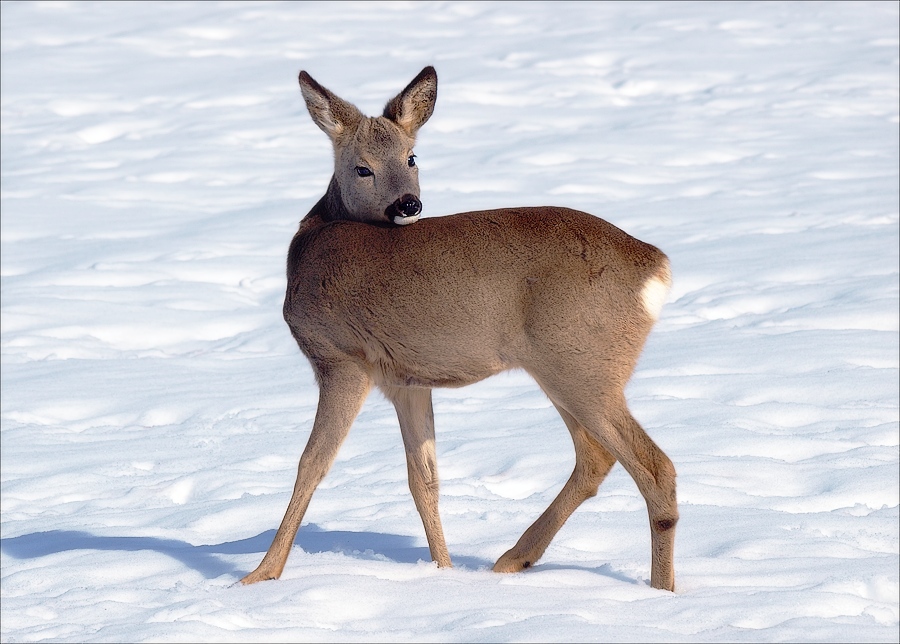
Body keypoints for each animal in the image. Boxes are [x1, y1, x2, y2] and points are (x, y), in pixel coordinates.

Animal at [243, 66, 680, 592]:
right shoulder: (405, 379)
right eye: (362, 167)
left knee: (654, 466)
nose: (409, 203)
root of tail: (654, 265)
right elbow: (424, 478)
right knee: (595, 458)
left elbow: (311, 463)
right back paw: (513, 559)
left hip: (580, 363)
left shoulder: (341, 357)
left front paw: (259, 574)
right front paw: (443, 572)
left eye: (412, 156)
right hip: (567, 368)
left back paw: (658, 591)